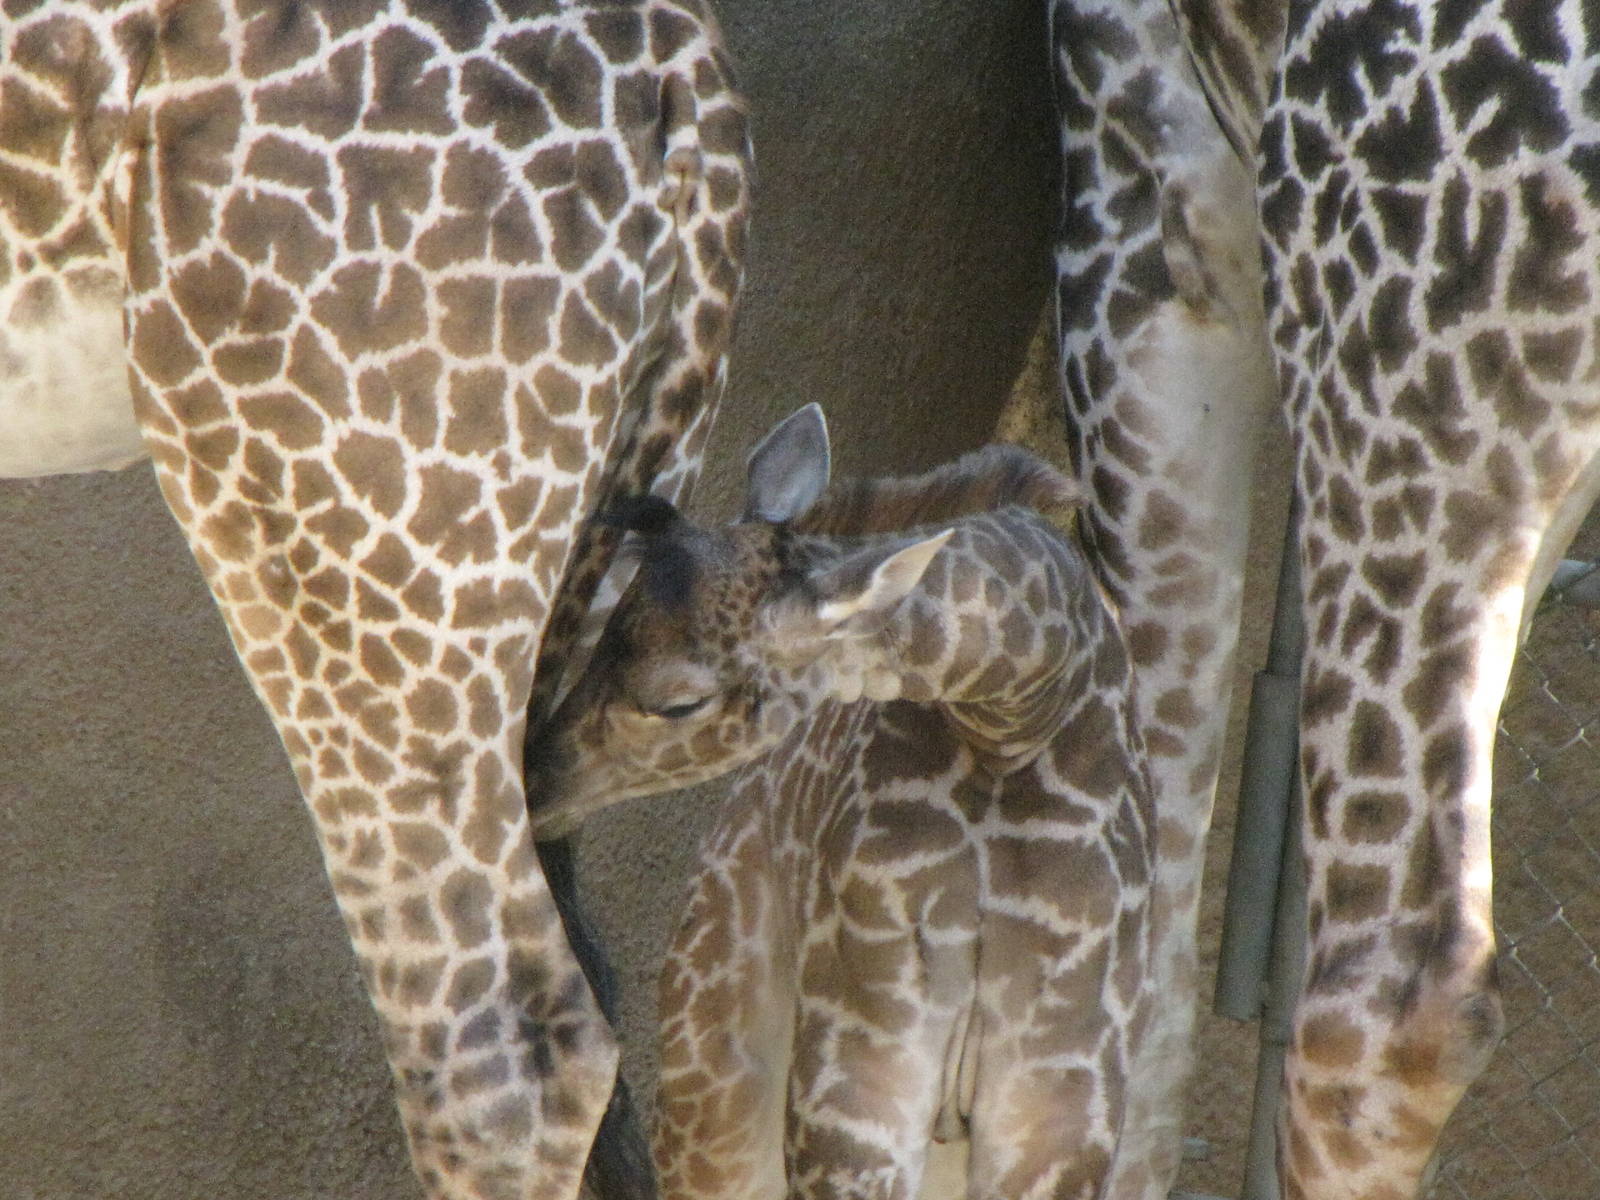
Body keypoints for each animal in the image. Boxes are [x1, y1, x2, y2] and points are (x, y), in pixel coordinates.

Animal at [527, 404, 1157, 1200]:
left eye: (678, 702)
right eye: (607, 633)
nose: (536, 778)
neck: (1021, 715)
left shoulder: (1062, 1098)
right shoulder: (860, 1064)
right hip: (716, 1080)